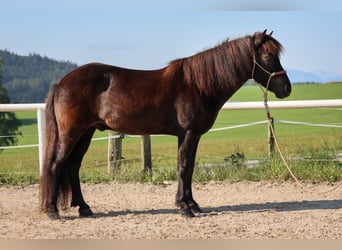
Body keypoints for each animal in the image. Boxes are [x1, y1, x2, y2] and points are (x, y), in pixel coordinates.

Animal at [40, 29, 292, 219]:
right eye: (268, 56)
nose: (286, 89)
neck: (197, 85)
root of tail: (62, 83)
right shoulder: (188, 133)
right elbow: (183, 167)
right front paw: (185, 208)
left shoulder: (193, 135)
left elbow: (189, 168)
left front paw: (192, 205)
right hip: (71, 133)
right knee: (55, 165)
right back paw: (52, 211)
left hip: (86, 132)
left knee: (73, 166)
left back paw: (84, 208)